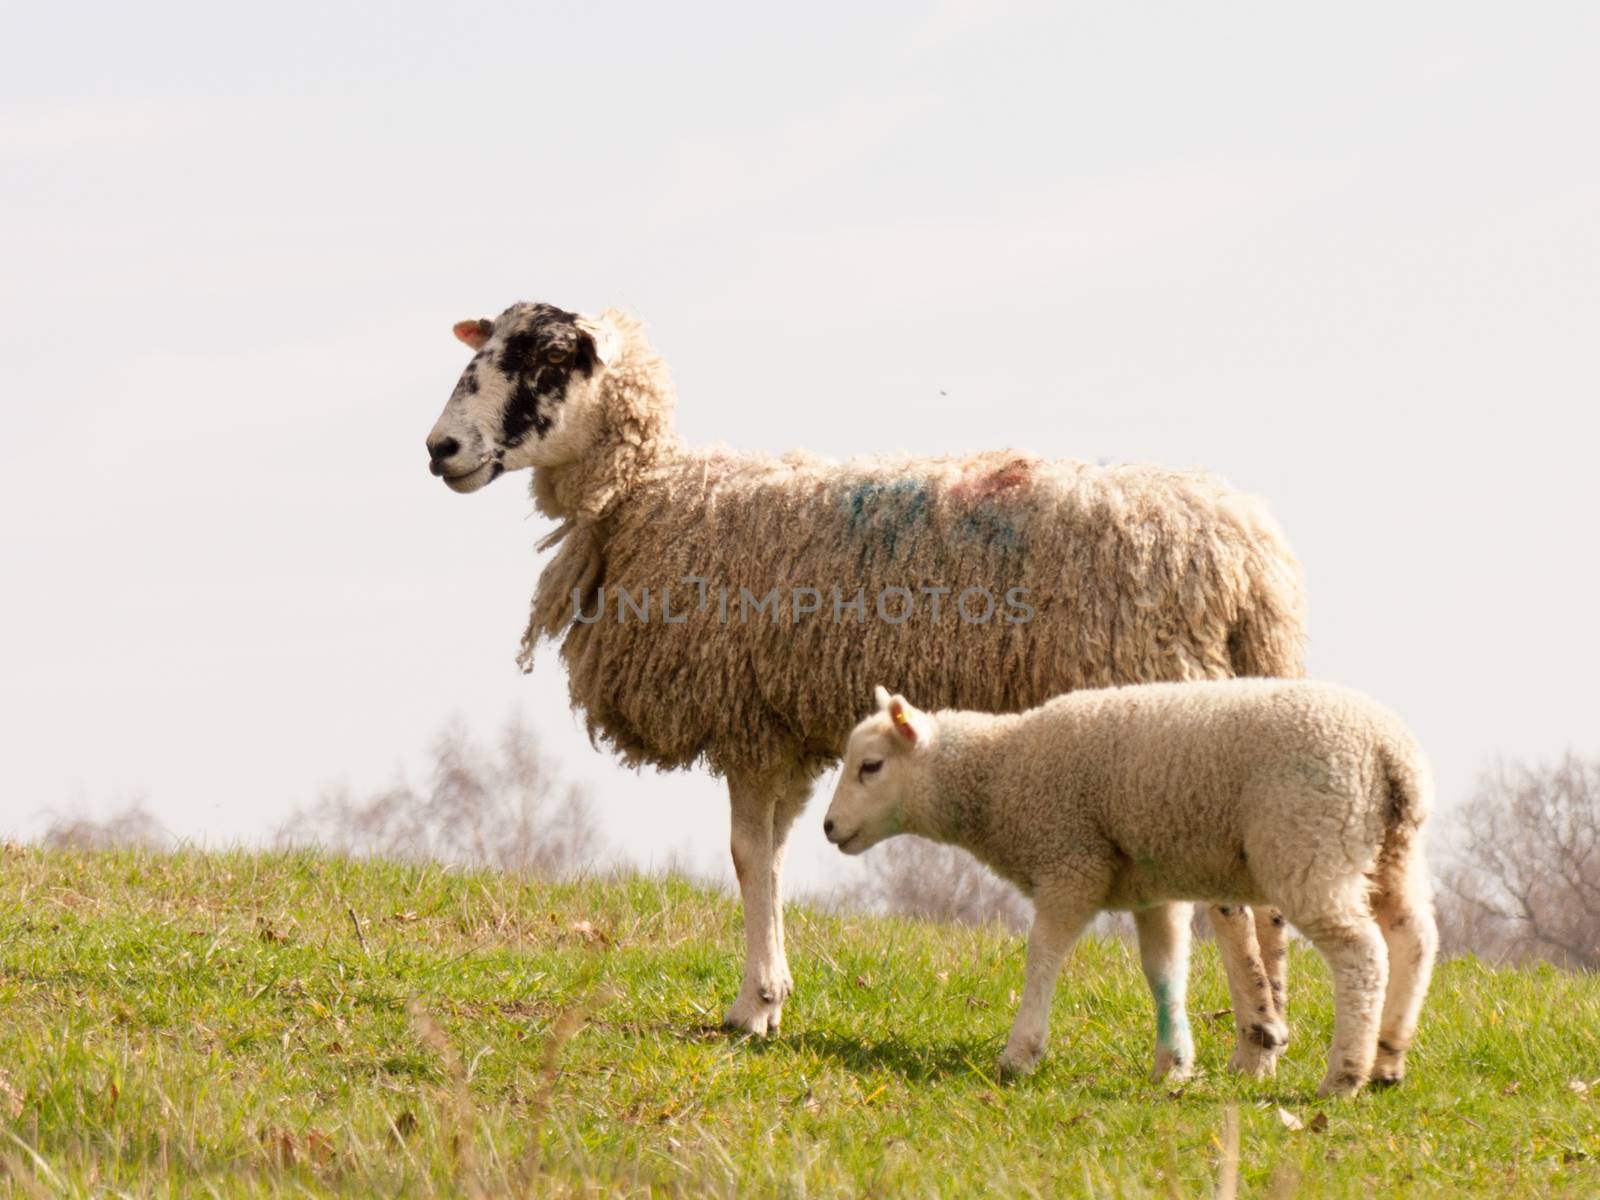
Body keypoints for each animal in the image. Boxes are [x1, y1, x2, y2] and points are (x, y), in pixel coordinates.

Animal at [428, 299, 1312, 1068]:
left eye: (548, 358)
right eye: (487, 344)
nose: (440, 448)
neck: (649, 493)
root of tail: (1246, 558)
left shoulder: (746, 717)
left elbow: (748, 855)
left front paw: (752, 1007)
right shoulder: (787, 731)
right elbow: (776, 856)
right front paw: (774, 995)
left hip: (1166, 720)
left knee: (1226, 895)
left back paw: (1253, 1044)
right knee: (1263, 891)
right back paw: (1269, 1044)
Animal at [825, 681, 1440, 1094]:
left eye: (871, 766)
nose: (829, 828)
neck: (999, 773)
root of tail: (1390, 755)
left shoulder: (1070, 861)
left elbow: (1042, 956)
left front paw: (1020, 1054)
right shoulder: (1152, 889)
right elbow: (1163, 970)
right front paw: (1174, 1065)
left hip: (1310, 843)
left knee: (1362, 954)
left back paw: (1345, 1075)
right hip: (1388, 850)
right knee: (1415, 938)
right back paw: (1388, 1061)